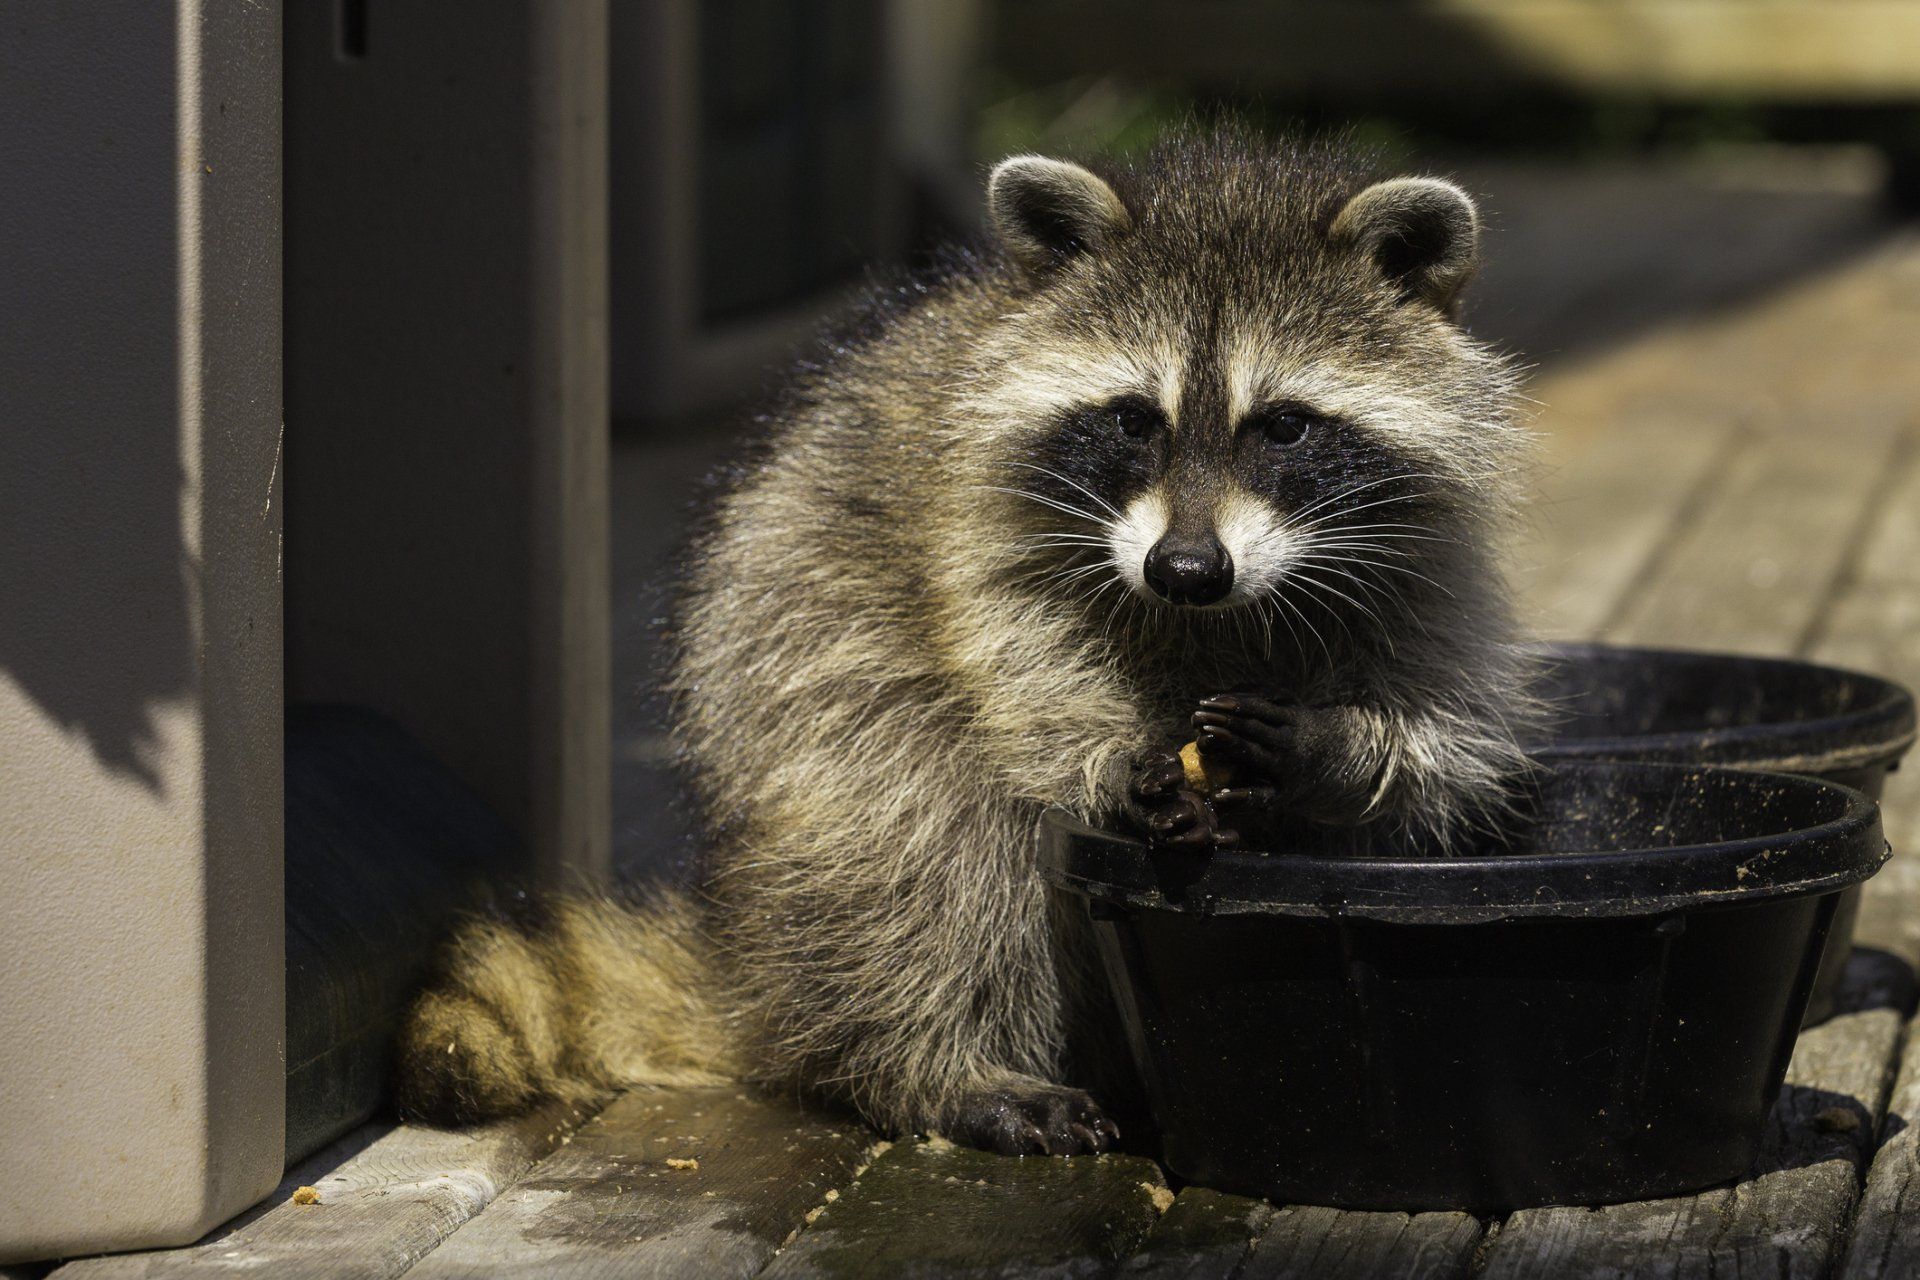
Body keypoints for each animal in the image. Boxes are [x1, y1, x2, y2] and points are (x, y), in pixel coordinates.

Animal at [398, 129, 1541, 1156]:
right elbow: (1010, 666)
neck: (1212, 619)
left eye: (1286, 426)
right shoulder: (976, 522)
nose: (1184, 568)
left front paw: (1335, 750)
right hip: (800, 681)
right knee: (924, 837)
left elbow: (1439, 745)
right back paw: (936, 1066)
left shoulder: (1423, 558)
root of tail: (747, 955)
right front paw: (1109, 758)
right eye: (1135, 419)